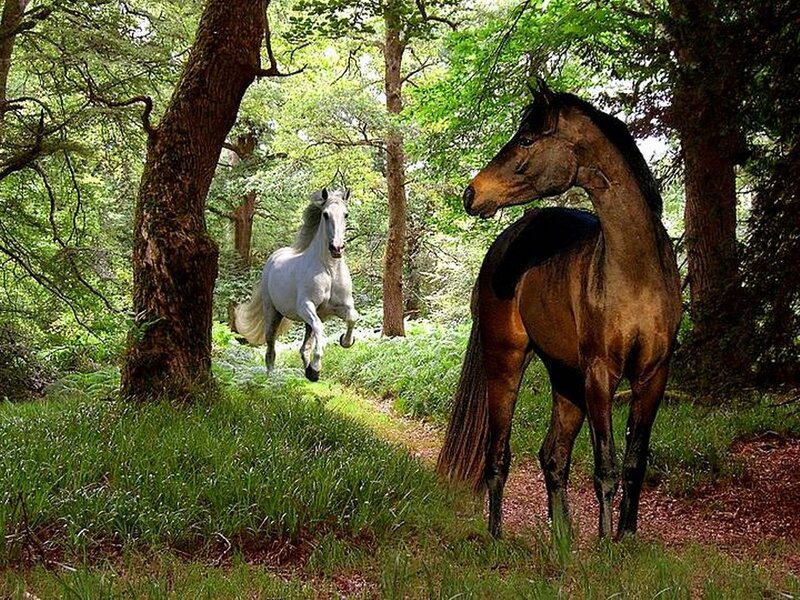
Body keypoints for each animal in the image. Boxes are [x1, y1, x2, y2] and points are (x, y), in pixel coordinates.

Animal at [234, 188, 359, 382]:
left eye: (346, 214)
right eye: (325, 214)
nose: (336, 248)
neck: (330, 270)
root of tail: (274, 258)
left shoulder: (340, 307)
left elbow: (352, 317)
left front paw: (345, 341)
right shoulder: (305, 306)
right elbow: (320, 331)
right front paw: (316, 368)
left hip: (307, 320)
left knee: (304, 346)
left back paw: (308, 371)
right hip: (273, 314)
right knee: (271, 350)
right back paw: (272, 380)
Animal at [437, 81, 682, 540]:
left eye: (527, 140)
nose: (471, 193)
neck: (636, 271)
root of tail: (507, 242)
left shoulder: (653, 376)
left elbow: (634, 463)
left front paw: (626, 538)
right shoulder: (601, 375)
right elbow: (606, 467)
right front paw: (605, 544)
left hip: (566, 378)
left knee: (552, 456)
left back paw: (563, 540)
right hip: (506, 364)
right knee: (497, 455)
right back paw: (496, 537)